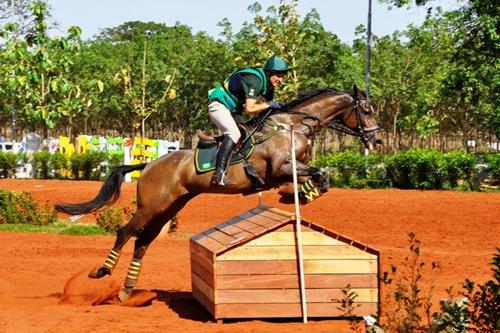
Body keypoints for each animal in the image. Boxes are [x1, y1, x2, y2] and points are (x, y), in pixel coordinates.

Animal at [55, 84, 382, 302]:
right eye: (366, 110)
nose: (377, 141)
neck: (292, 125)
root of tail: (148, 164)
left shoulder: (292, 167)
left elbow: (321, 176)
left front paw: (297, 195)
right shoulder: (280, 167)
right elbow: (318, 174)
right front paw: (296, 195)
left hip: (168, 209)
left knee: (143, 242)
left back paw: (126, 291)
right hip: (150, 207)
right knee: (125, 233)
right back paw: (101, 272)